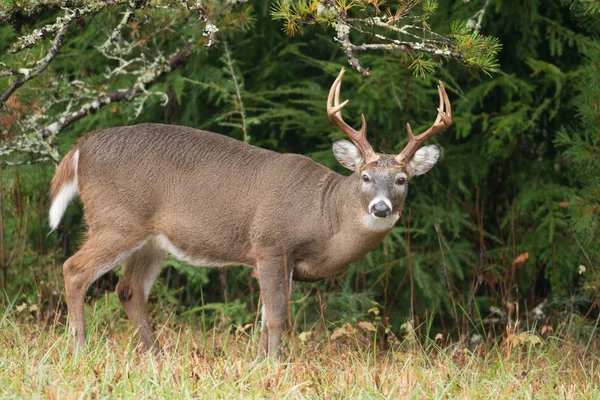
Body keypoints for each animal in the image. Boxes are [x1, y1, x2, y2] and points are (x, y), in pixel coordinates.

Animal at [49, 67, 450, 358]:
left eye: (402, 179)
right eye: (365, 176)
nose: (381, 207)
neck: (325, 215)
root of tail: (81, 147)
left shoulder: (279, 260)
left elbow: (264, 318)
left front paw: (258, 362)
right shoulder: (272, 244)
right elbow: (276, 317)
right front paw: (274, 366)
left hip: (151, 240)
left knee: (129, 290)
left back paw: (157, 354)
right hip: (116, 220)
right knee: (74, 269)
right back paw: (79, 350)